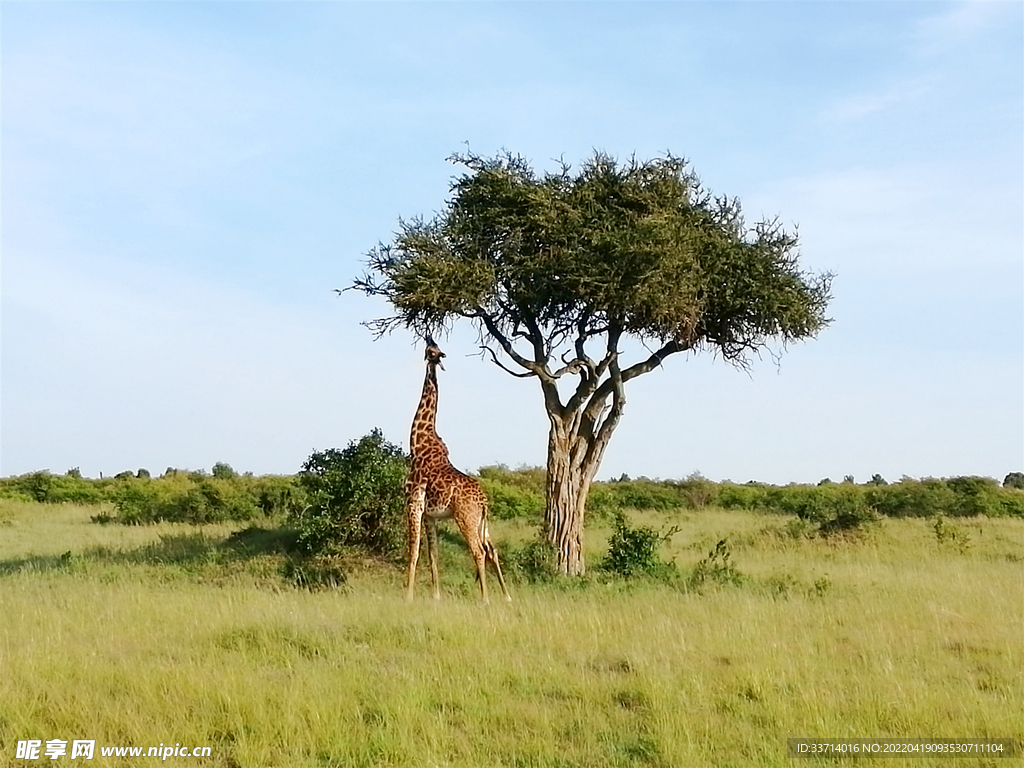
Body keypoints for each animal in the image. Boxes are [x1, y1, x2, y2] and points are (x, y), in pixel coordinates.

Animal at [401, 339, 509, 606]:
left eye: (433, 350)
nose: (437, 352)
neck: (417, 443)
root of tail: (484, 501)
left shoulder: (413, 504)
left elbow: (414, 551)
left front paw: (407, 596)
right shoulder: (430, 515)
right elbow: (433, 555)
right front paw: (436, 597)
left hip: (465, 518)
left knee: (479, 551)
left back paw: (485, 599)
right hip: (481, 521)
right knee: (493, 550)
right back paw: (507, 596)